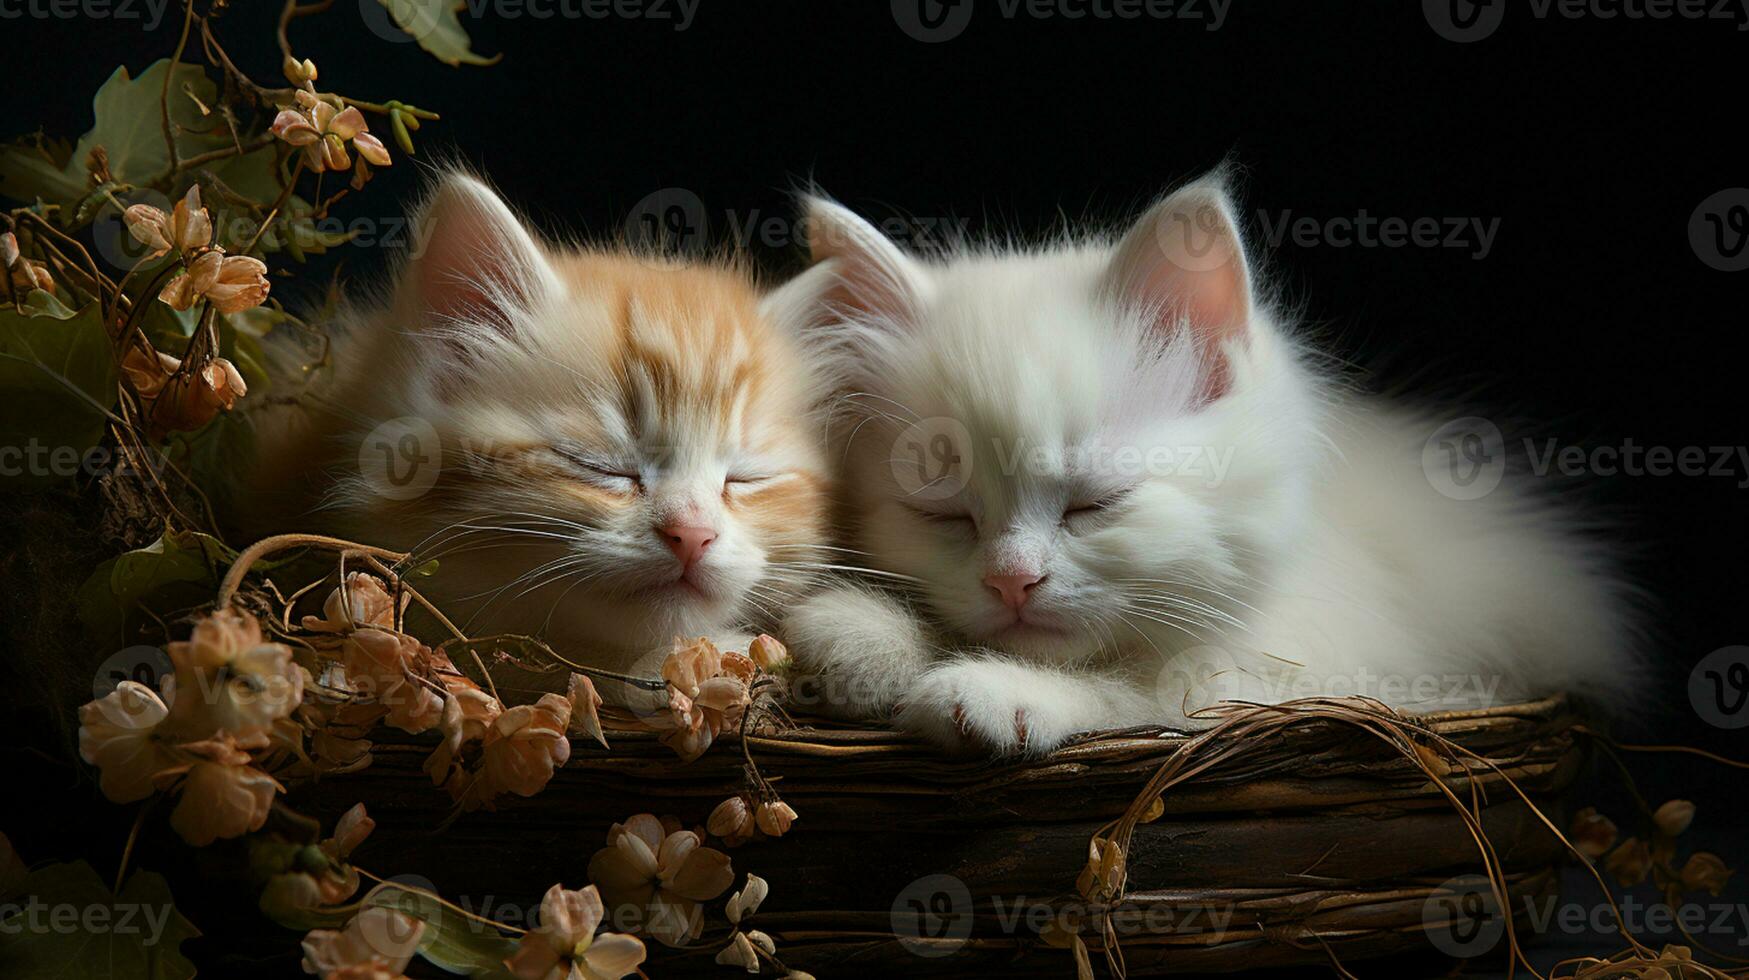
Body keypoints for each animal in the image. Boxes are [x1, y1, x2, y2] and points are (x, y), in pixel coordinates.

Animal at [780, 172, 1637, 759]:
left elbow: (1144, 688)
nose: (1012, 581)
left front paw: (995, 692)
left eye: (1095, 502)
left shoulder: (1332, 679)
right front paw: (860, 633)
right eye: (943, 513)